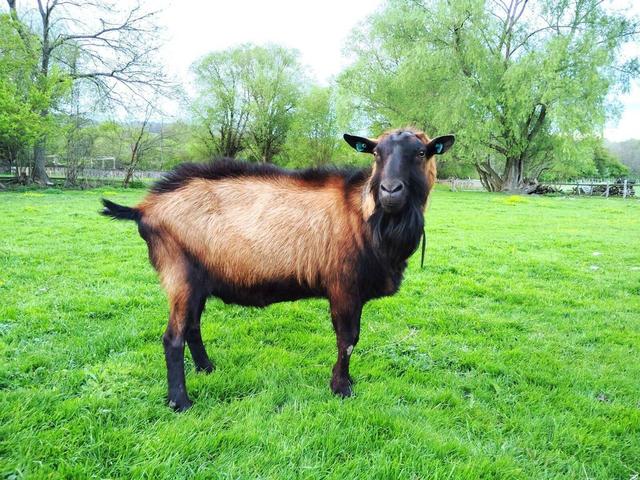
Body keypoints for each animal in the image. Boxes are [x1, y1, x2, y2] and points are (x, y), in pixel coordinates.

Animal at [101, 128, 455, 410]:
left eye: (421, 152)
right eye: (376, 153)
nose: (390, 191)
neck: (366, 217)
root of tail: (145, 208)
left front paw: (344, 383)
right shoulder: (343, 285)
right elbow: (348, 339)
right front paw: (341, 387)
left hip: (198, 278)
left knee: (192, 327)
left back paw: (206, 368)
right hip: (179, 273)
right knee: (172, 337)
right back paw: (181, 402)